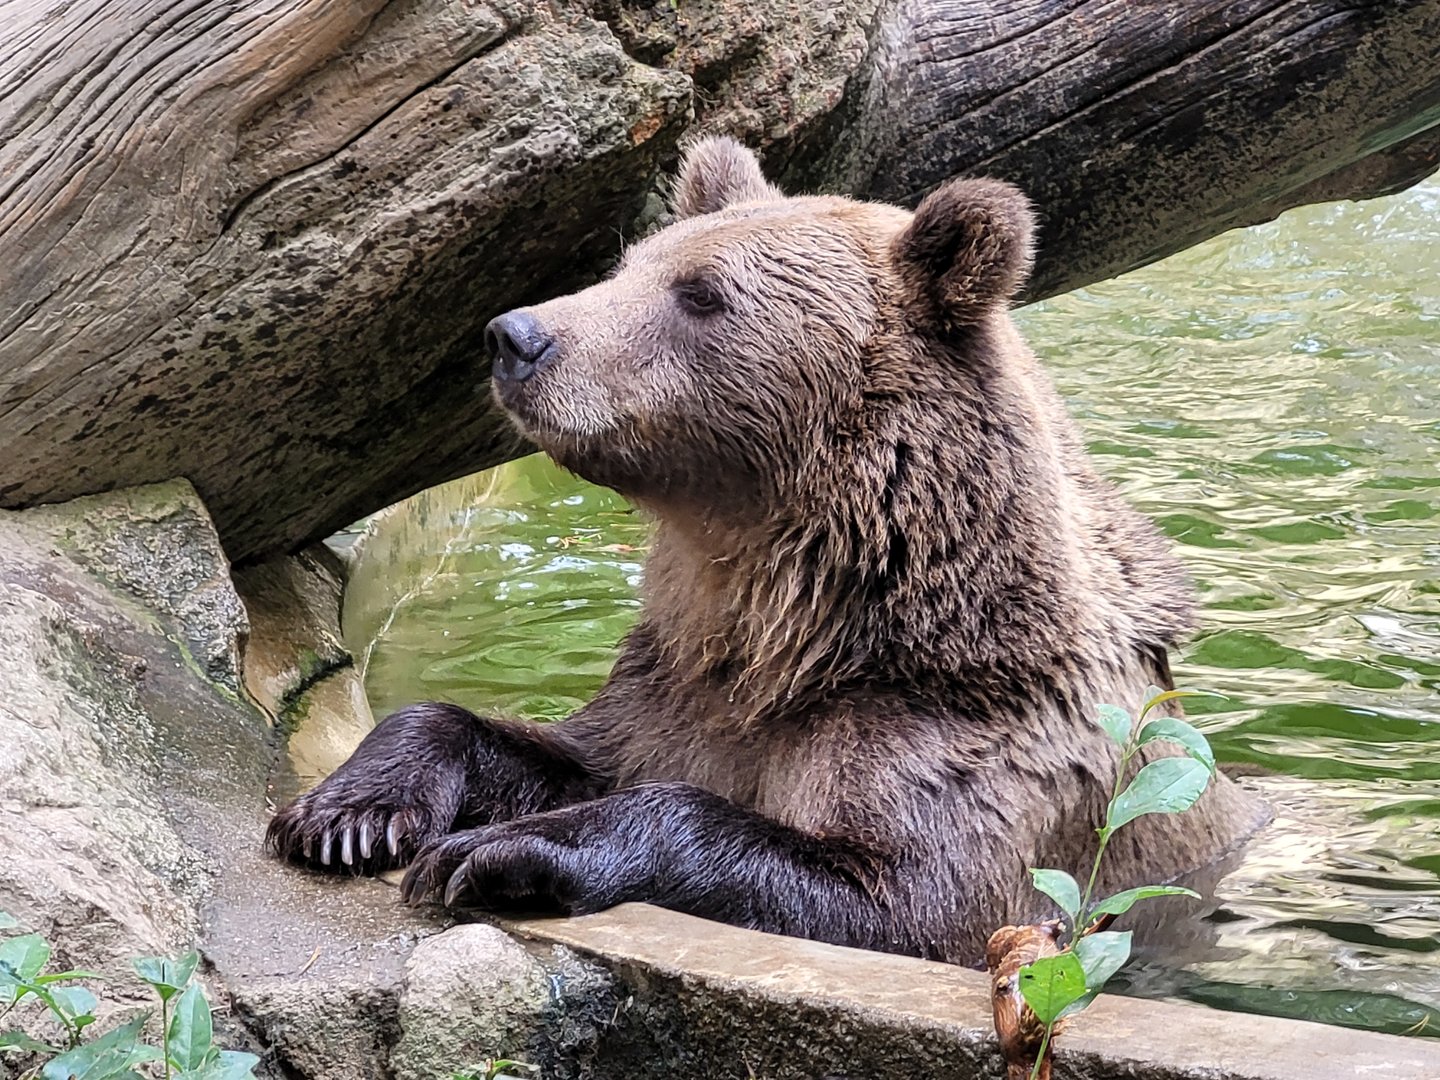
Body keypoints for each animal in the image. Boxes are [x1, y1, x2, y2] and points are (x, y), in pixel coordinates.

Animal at [266, 137, 1267, 965]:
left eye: (702, 293)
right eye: (629, 265)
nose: (517, 336)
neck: (790, 621)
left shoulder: (963, 737)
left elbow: (903, 894)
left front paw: (491, 850)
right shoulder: (673, 694)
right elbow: (545, 746)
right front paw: (346, 814)